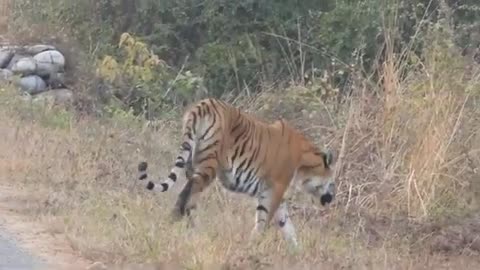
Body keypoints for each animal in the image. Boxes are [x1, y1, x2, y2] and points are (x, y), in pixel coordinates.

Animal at [136, 97, 338, 249]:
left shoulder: (277, 196)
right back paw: (185, 226)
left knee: (185, 197)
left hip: (191, 163)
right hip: (209, 165)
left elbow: (288, 227)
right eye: (333, 183)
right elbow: (264, 221)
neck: (304, 165)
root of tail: (204, 104)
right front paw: (253, 245)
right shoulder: (274, 190)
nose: (332, 198)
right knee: (187, 198)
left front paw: (297, 252)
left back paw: (180, 226)